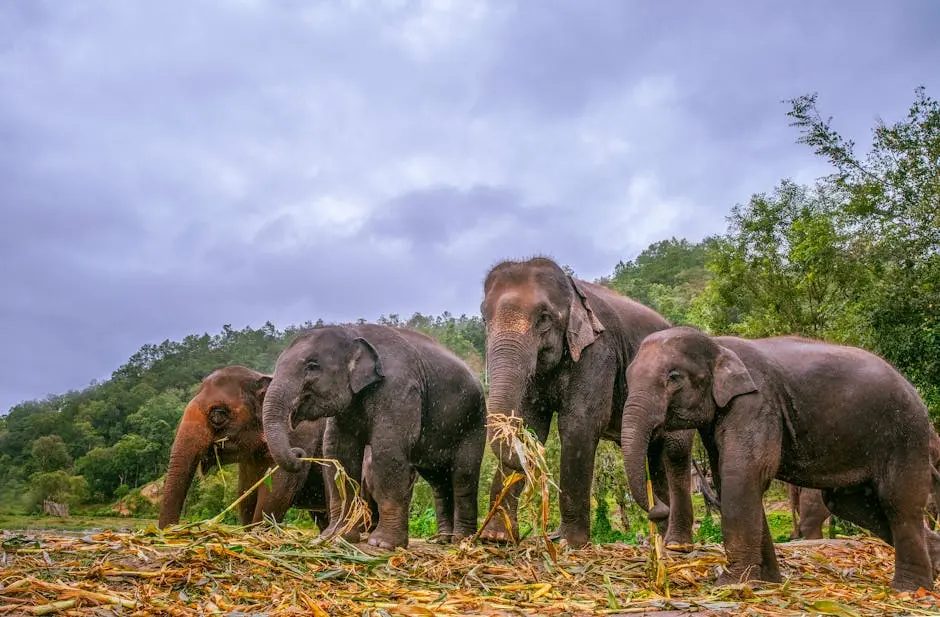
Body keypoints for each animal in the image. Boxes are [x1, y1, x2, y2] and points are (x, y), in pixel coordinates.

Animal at [260, 323, 487, 550]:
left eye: (313, 366)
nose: (298, 453)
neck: (352, 331)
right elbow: (338, 452)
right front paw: (334, 537)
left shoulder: (398, 389)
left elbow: (388, 449)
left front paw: (382, 544)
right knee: (438, 481)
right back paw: (443, 540)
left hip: (475, 421)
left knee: (464, 474)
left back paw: (461, 540)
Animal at [479, 257, 695, 548]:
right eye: (484, 317)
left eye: (544, 318)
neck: (572, 290)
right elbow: (531, 422)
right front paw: (496, 538)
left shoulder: (599, 352)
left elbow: (579, 423)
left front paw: (570, 543)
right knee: (655, 455)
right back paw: (660, 539)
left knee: (674, 452)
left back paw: (676, 544)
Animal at [621, 325, 940, 592]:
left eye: (673, 378)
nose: (658, 510)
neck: (717, 345)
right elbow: (728, 478)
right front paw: (766, 581)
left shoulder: (757, 403)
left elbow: (743, 474)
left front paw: (731, 583)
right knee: (851, 503)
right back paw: (935, 566)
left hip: (905, 434)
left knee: (897, 503)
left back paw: (909, 589)